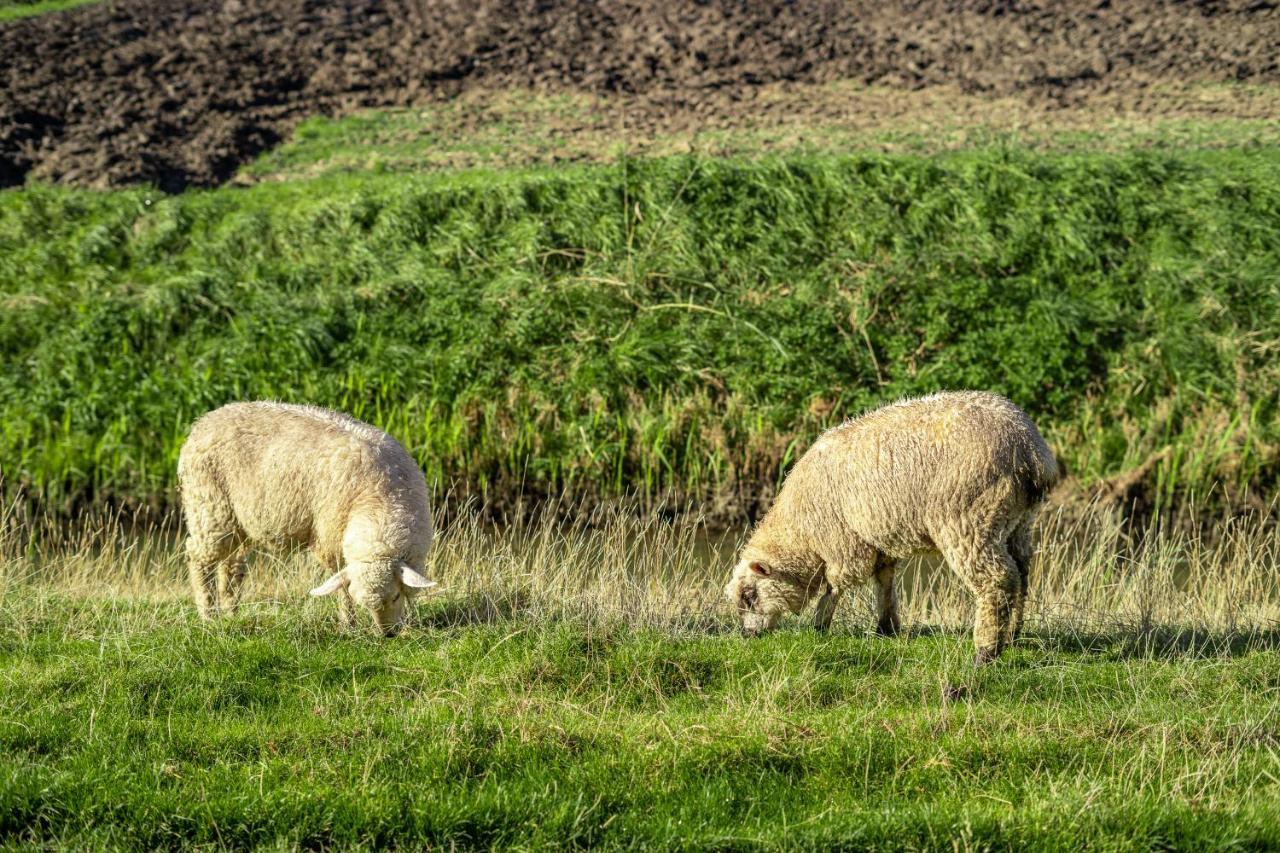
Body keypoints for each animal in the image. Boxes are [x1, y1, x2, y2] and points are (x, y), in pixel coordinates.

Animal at [175, 399, 437, 630]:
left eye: (395, 597)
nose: (388, 633)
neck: (380, 499)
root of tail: (202, 423)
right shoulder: (331, 541)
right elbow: (342, 588)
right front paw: (349, 624)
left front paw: (409, 620)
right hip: (209, 506)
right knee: (197, 557)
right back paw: (208, 615)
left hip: (238, 521)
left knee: (230, 564)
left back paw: (232, 613)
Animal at [721, 389, 1059, 660]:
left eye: (750, 596)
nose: (748, 636)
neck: (801, 534)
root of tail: (1029, 450)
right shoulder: (876, 538)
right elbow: (884, 579)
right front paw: (886, 626)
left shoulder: (844, 543)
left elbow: (835, 585)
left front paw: (820, 624)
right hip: (1018, 521)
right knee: (1021, 573)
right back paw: (1012, 635)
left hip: (968, 518)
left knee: (997, 579)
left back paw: (986, 651)